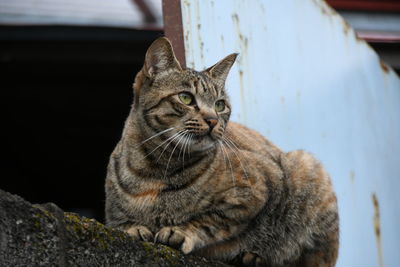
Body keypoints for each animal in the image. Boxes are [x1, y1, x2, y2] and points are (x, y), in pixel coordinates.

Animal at [104, 37, 340, 267]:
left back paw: (255, 257)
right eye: (186, 98)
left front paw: (181, 231)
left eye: (220, 105)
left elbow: (209, 222)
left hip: (307, 167)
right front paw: (133, 227)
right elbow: (122, 222)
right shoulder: (113, 214)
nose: (213, 120)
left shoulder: (254, 192)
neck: (155, 169)